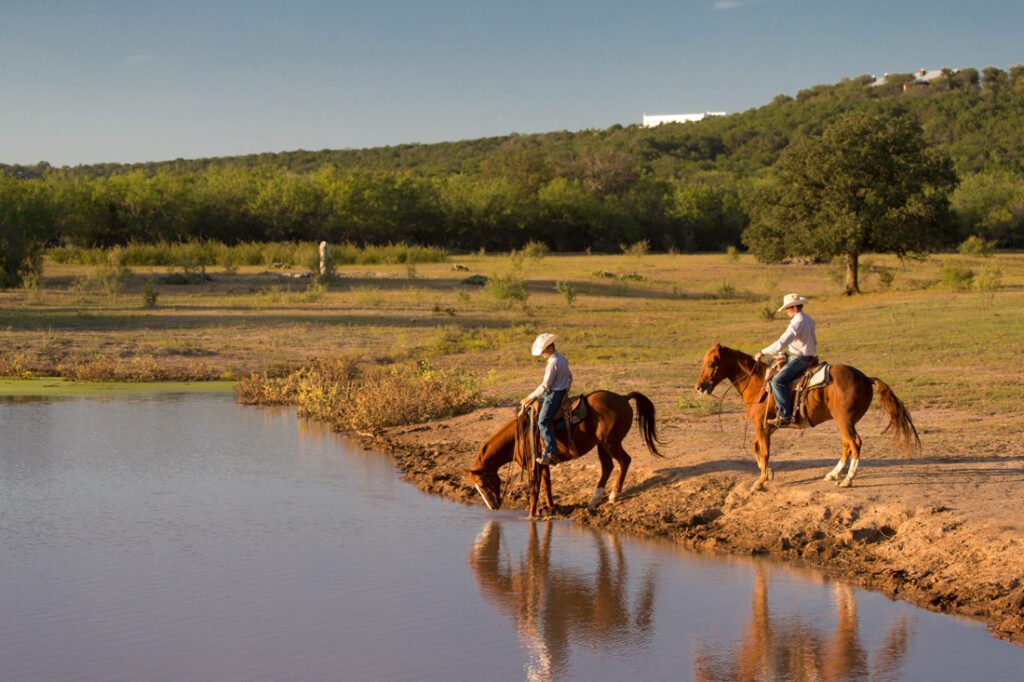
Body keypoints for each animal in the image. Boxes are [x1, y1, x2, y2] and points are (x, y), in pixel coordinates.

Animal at [464, 391, 662, 516]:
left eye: (482, 484)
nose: (492, 506)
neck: (518, 437)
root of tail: (622, 397)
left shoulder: (532, 467)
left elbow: (534, 491)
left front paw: (530, 516)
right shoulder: (543, 464)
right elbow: (547, 486)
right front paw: (551, 508)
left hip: (610, 442)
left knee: (624, 461)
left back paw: (613, 496)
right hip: (602, 445)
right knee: (607, 467)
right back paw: (593, 500)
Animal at [694, 344, 920, 491]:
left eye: (713, 363)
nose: (699, 387)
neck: (758, 383)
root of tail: (865, 378)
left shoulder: (761, 426)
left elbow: (764, 451)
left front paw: (760, 481)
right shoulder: (768, 427)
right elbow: (755, 447)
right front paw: (768, 473)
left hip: (844, 421)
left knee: (854, 444)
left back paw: (847, 480)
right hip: (844, 422)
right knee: (847, 445)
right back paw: (833, 474)